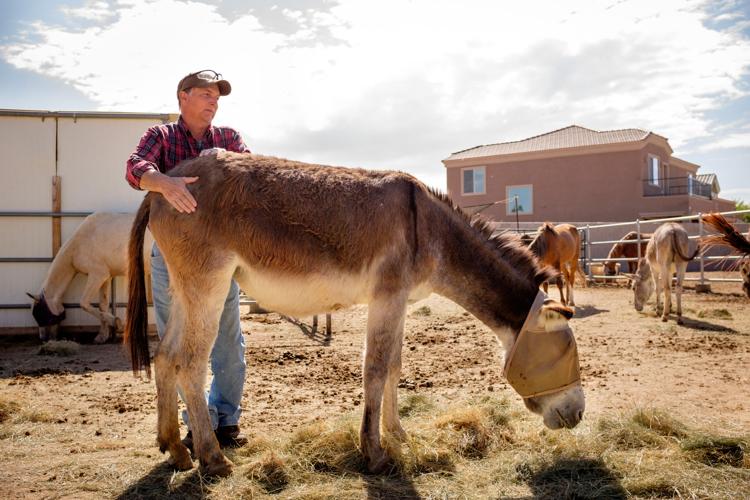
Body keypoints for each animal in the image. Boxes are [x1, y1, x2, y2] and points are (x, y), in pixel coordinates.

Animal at [27, 212, 153, 343]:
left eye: (39, 313)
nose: (43, 338)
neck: (79, 244)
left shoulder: (97, 275)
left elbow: (84, 303)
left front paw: (116, 322)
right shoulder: (106, 277)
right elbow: (103, 305)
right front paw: (102, 336)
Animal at [125, 153, 585, 477]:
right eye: (566, 351)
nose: (578, 415)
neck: (431, 230)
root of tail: (163, 184)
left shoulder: (399, 301)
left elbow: (395, 366)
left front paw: (398, 434)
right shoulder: (386, 297)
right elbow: (376, 368)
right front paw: (375, 453)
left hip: (186, 289)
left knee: (165, 357)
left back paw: (175, 449)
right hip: (209, 287)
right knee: (190, 364)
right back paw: (213, 459)